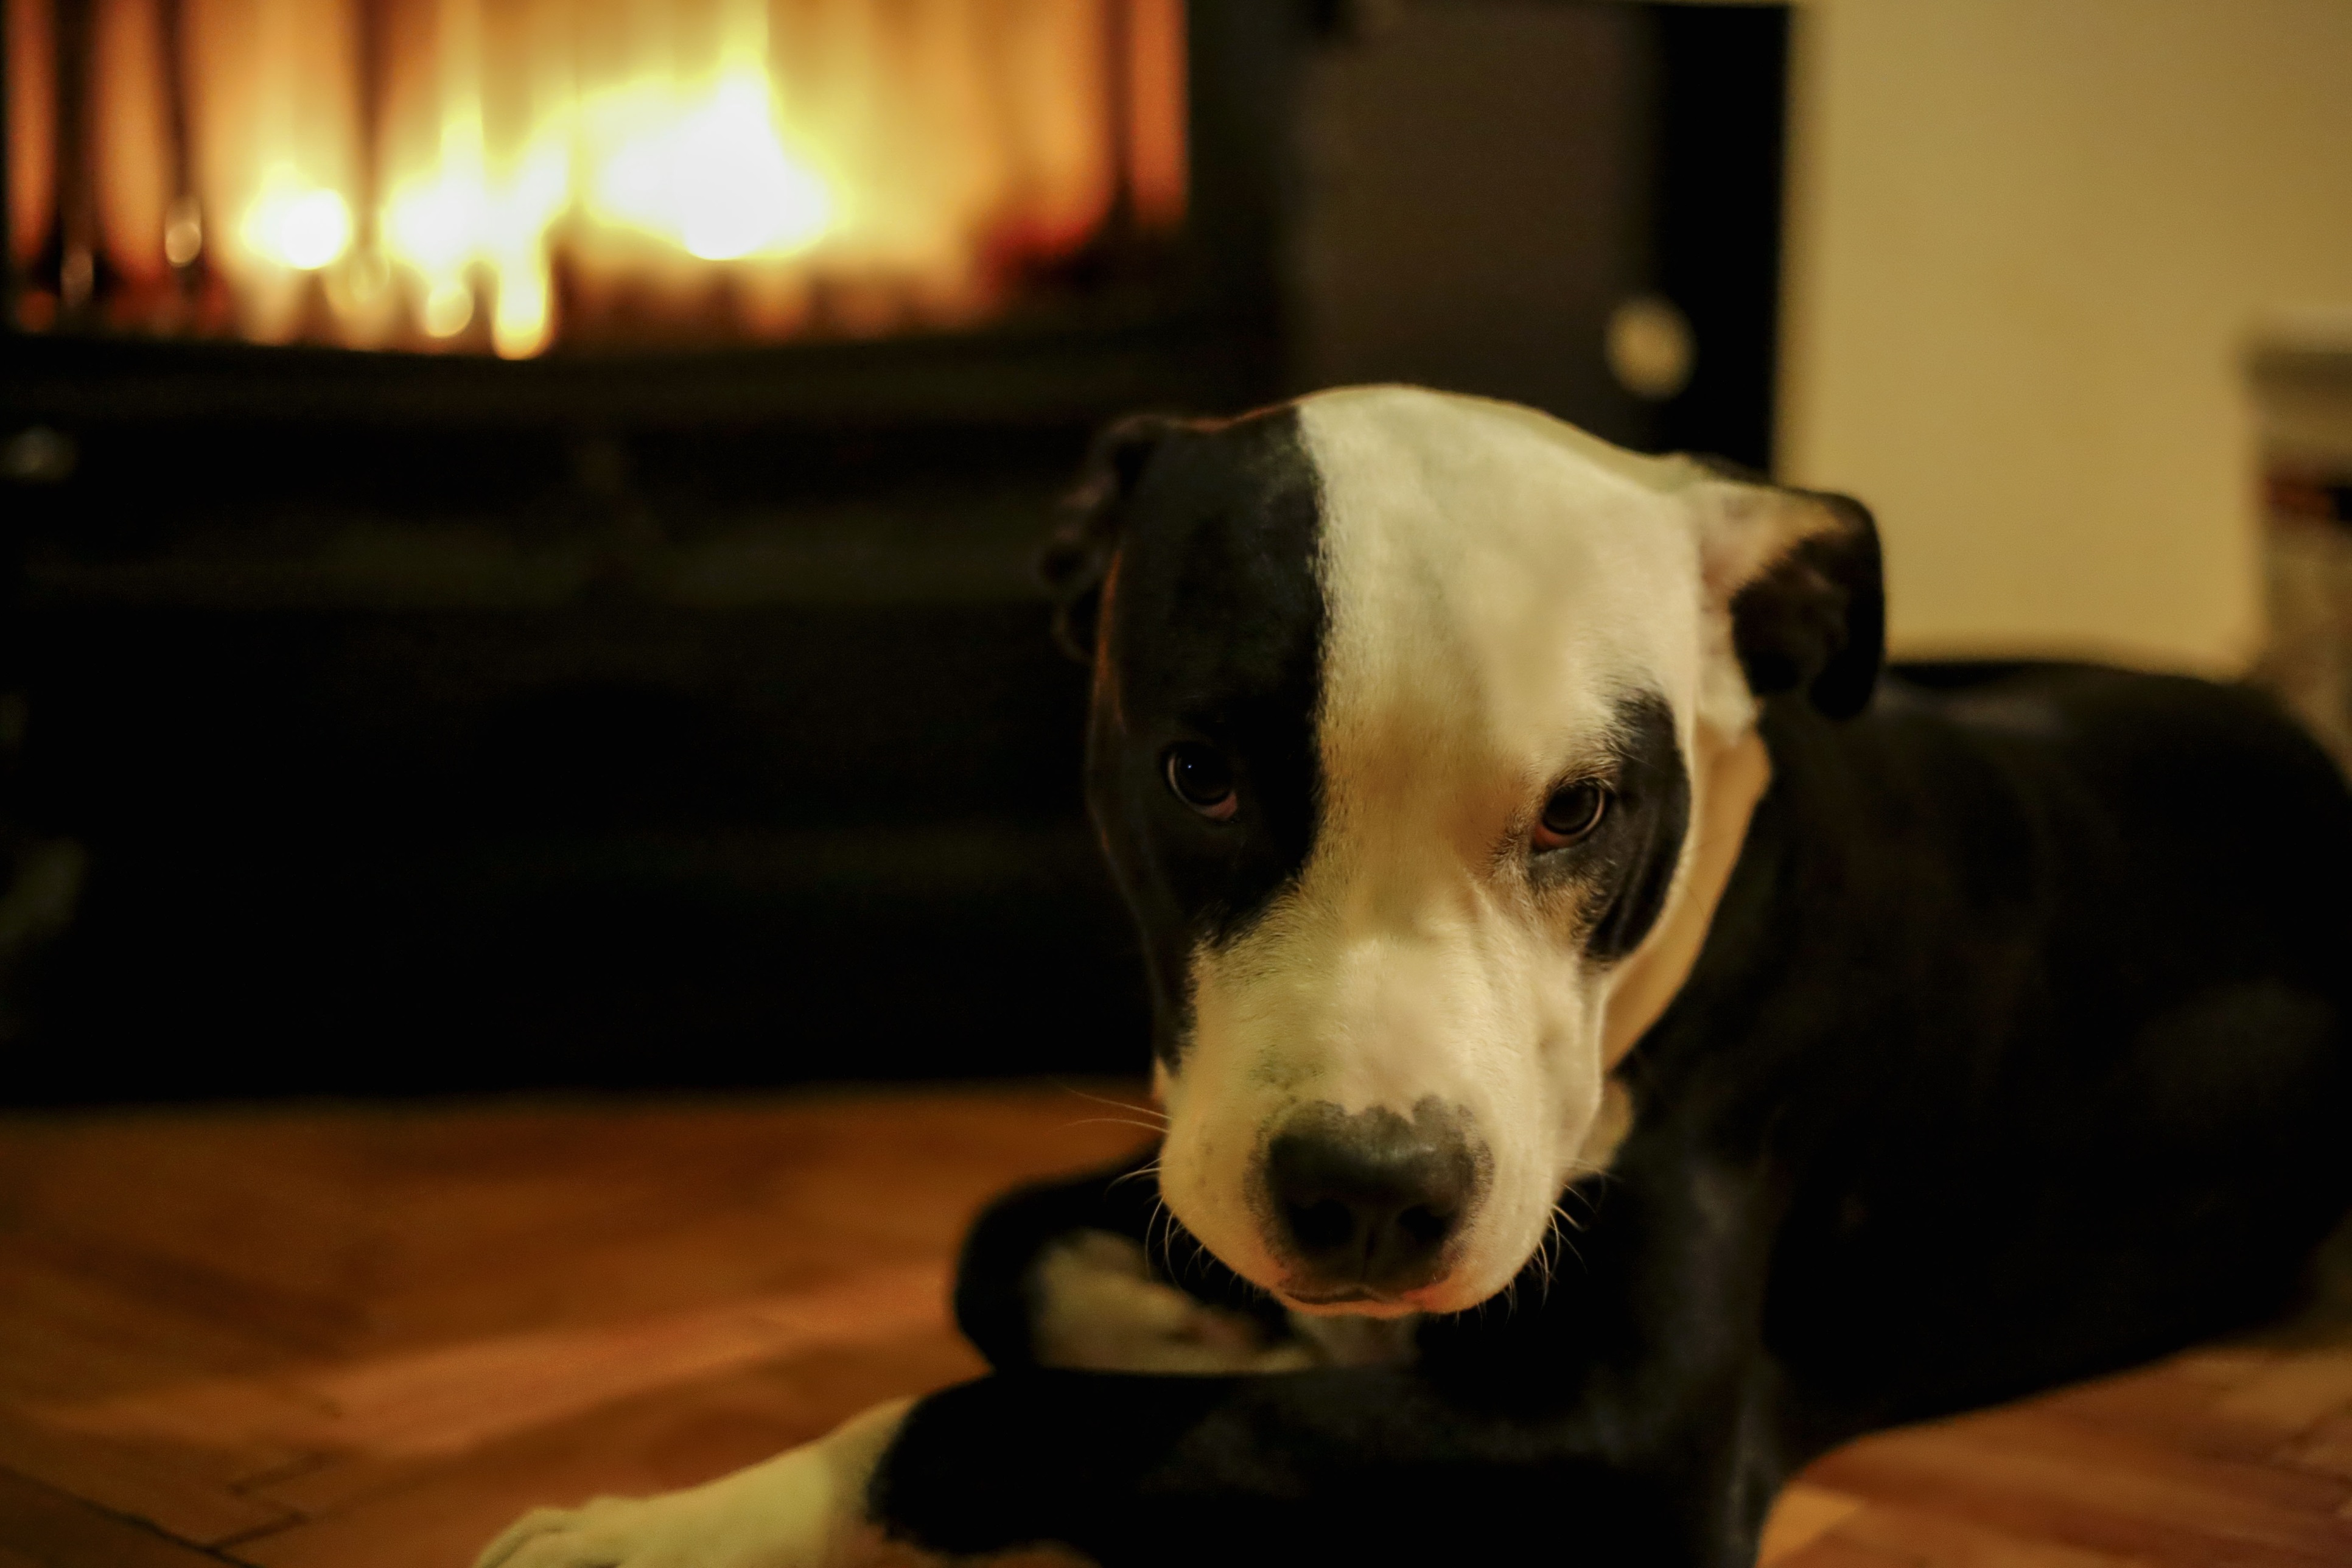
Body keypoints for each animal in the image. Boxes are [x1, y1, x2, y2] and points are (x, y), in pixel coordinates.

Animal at [477, 390, 2352, 1568]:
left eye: (1582, 809)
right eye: (1201, 778)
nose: (1369, 1197)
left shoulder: (1618, 1445)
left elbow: (984, 1418)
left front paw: (664, 1529)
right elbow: (994, 1254)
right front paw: (1179, 1331)